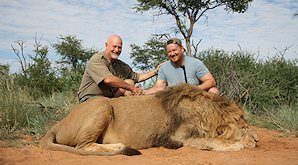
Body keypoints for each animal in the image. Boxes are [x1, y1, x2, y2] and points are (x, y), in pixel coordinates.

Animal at [40, 84, 260, 156]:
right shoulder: (181, 137)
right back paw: (119, 146)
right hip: (103, 106)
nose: (258, 140)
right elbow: (214, 142)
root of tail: (58, 123)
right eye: (244, 126)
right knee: (83, 146)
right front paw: (241, 145)